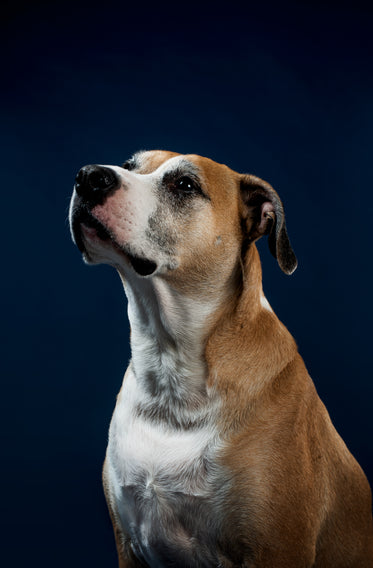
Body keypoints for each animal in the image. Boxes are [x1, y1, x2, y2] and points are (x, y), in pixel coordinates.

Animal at [69, 152, 372, 568]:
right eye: (129, 165)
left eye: (185, 185)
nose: (88, 177)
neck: (171, 374)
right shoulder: (127, 544)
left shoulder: (275, 549)